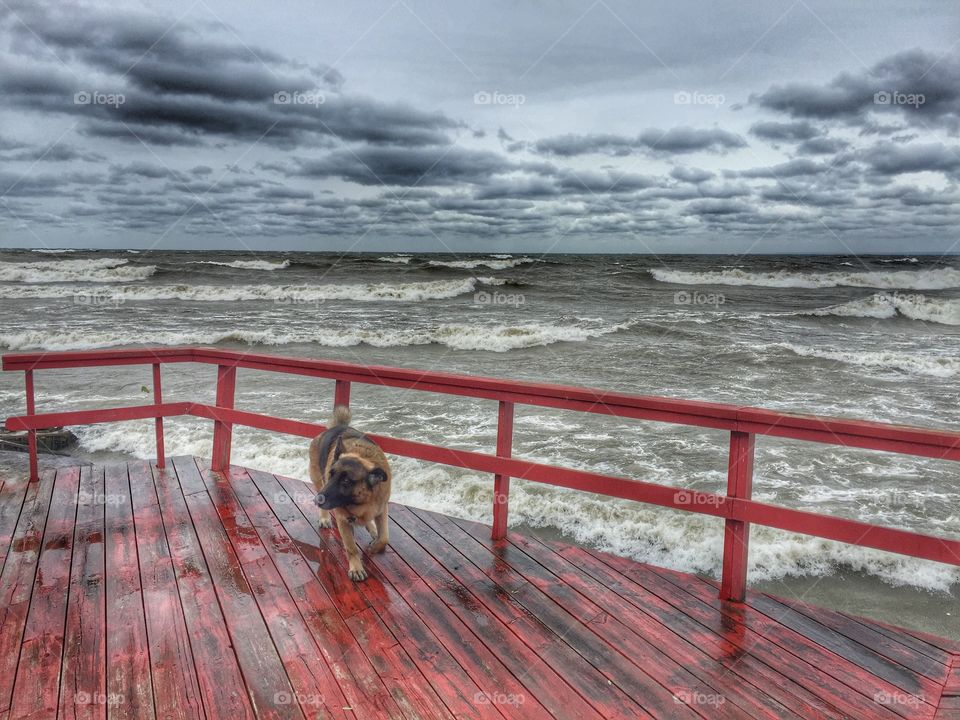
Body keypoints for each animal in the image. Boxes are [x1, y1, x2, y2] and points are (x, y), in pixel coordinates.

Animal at [312, 404, 394, 580]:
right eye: (331, 474)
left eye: (346, 481)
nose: (317, 500)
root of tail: (338, 426)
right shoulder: (343, 520)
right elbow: (351, 548)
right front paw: (356, 568)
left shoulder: (382, 509)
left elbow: (384, 538)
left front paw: (375, 547)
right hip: (317, 480)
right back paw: (324, 518)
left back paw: (372, 528)